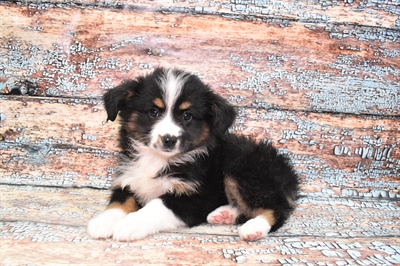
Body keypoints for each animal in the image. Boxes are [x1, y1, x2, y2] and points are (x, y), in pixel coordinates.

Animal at [88, 68, 300, 241]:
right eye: (153, 112)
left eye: (187, 116)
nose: (169, 139)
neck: (158, 159)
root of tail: (287, 172)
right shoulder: (130, 179)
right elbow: (120, 201)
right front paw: (103, 221)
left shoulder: (197, 197)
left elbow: (158, 205)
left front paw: (130, 224)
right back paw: (224, 215)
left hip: (243, 169)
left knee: (277, 208)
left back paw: (254, 227)